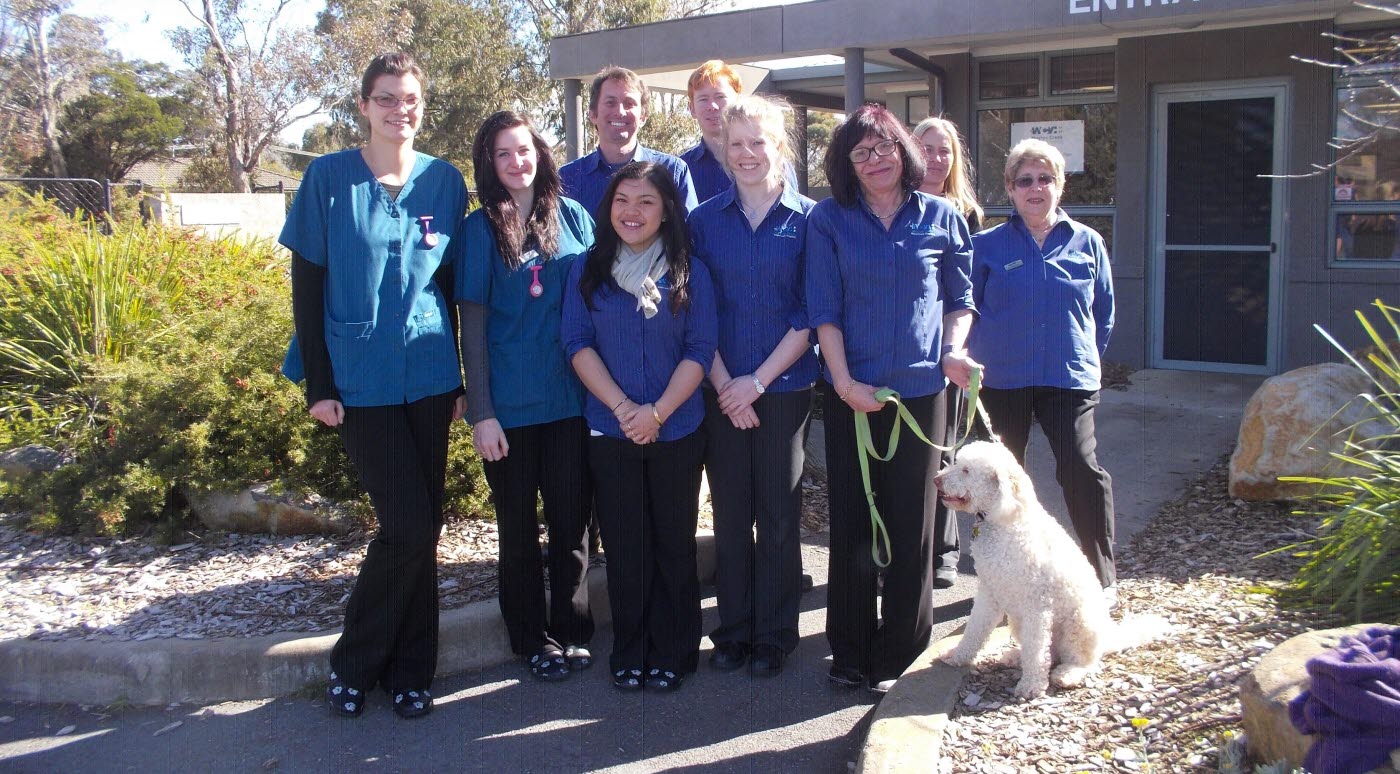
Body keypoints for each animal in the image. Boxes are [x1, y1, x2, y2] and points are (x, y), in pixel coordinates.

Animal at [935, 436, 1176, 697]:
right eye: (957, 463)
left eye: (966, 470)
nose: (937, 480)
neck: (1006, 521)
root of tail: (1108, 635)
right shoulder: (990, 592)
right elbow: (975, 629)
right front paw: (958, 656)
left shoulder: (1037, 604)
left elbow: (1036, 649)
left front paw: (1031, 686)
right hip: (1019, 620)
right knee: (1049, 652)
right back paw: (1015, 656)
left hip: (1079, 624)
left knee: (1081, 660)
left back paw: (1068, 674)